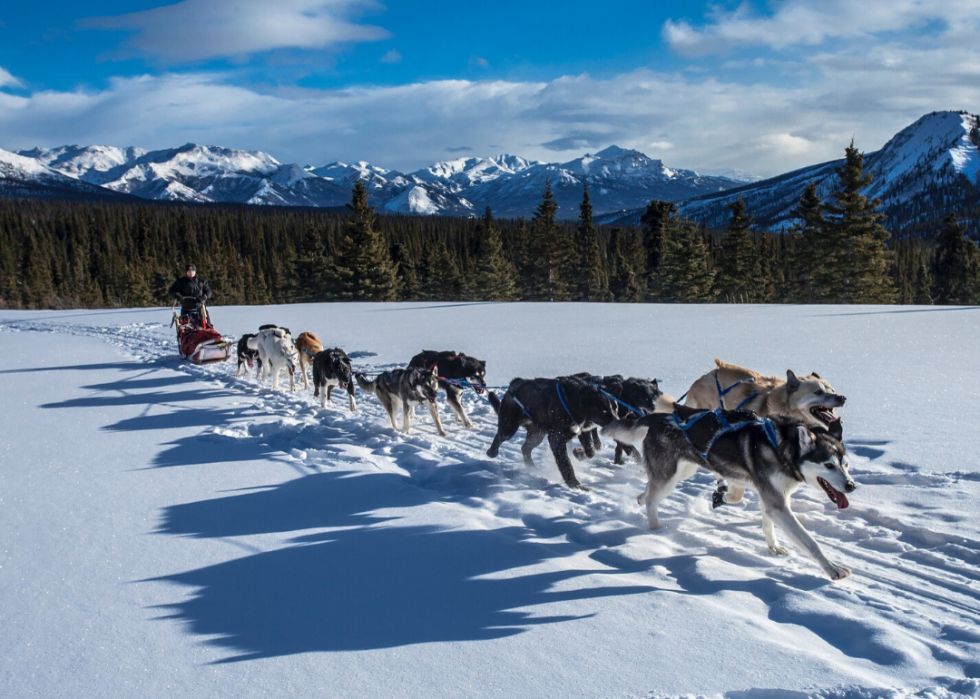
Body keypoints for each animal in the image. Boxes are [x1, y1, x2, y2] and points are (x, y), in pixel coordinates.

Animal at [486, 378, 616, 492]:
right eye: (603, 410)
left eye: (613, 407)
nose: (617, 420)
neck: (573, 402)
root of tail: (513, 384)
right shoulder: (556, 439)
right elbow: (566, 465)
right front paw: (575, 485)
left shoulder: (582, 431)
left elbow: (590, 451)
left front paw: (578, 453)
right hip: (509, 428)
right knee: (500, 436)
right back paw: (492, 451)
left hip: (537, 435)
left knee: (525, 448)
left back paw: (532, 467)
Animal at [600, 404, 852, 580]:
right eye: (829, 465)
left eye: (846, 465)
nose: (851, 485)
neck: (781, 446)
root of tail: (661, 416)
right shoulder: (777, 503)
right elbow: (810, 542)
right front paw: (833, 569)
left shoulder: (771, 498)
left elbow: (767, 525)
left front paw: (773, 548)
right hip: (669, 478)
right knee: (653, 500)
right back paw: (656, 530)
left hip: (681, 472)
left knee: (649, 489)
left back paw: (641, 498)